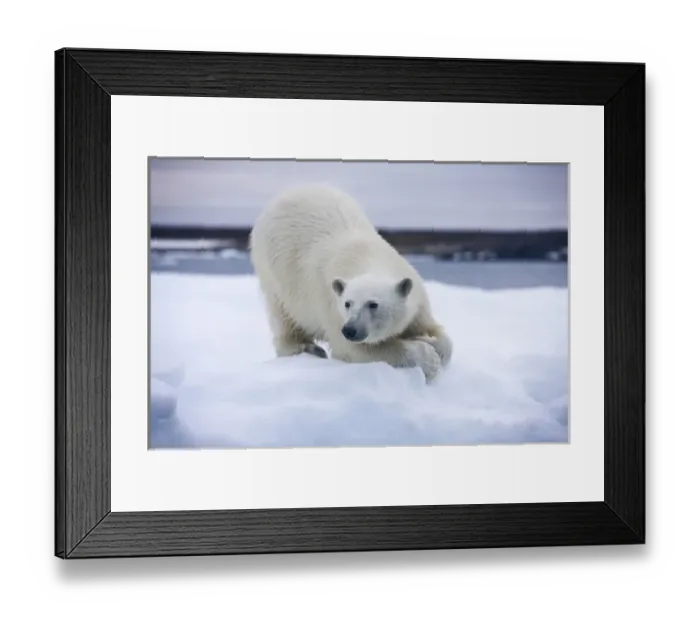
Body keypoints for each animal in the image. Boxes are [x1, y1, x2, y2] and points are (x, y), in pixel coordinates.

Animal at [249, 183, 453, 382]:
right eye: (347, 303)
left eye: (373, 304)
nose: (350, 330)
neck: (369, 258)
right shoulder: (331, 306)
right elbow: (356, 349)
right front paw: (429, 358)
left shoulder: (417, 300)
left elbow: (434, 331)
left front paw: (430, 340)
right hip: (274, 272)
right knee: (283, 315)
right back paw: (306, 348)